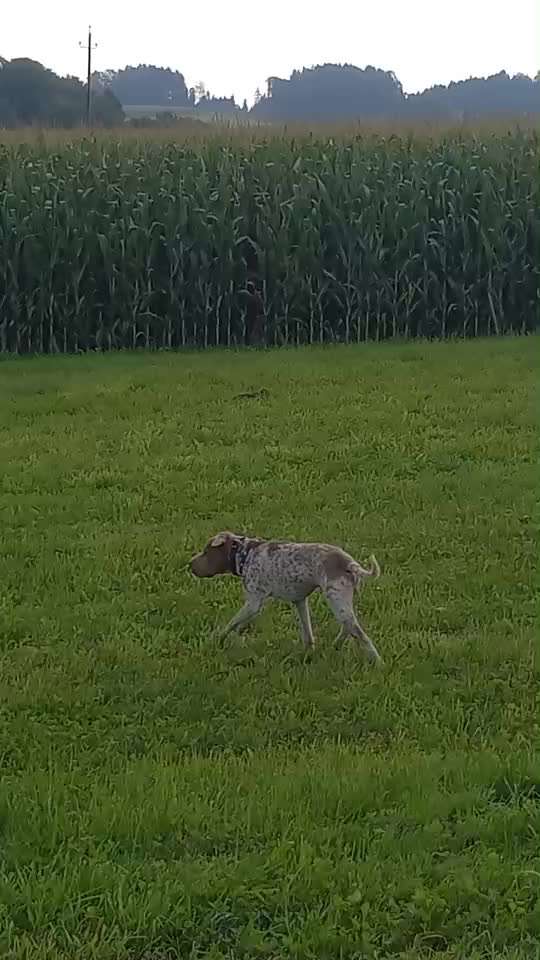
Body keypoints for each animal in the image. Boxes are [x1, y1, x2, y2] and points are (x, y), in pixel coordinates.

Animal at [192, 532, 382, 660]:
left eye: (206, 552)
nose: (189, 564)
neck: (245, 555)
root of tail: (351, 564)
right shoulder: (299, 600)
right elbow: (307, 632)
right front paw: (309, 651)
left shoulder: (253, 603)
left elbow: (231, 624)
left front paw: (215, 640)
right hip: (342, 602)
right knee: (349, 626)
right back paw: (335, 646)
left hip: (336, 600)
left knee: (359, 633)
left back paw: (378, 663)